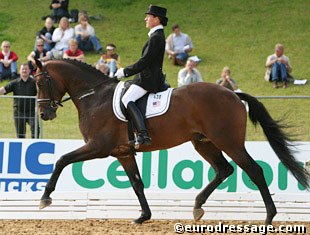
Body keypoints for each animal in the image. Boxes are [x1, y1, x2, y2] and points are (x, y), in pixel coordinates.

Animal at [34, 58, 310, 224]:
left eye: (40, 81)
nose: (44, 114)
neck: (95, 97)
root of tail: (232, 93)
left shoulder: (98, 147)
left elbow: (61, 160)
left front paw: (45, 198)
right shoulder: (123, 152)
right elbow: (136, 183)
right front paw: (143, 216)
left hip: (228, 141)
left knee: (253, 170)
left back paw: (269, 217)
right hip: (203, 142)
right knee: (224, 169)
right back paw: (197, 206)